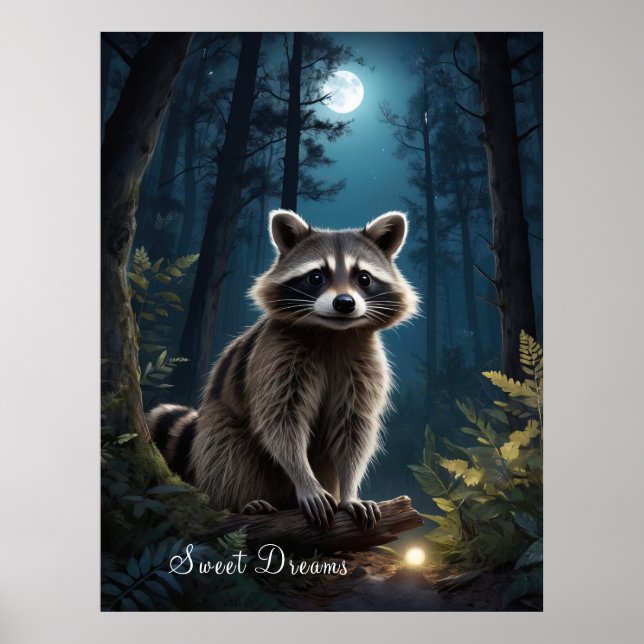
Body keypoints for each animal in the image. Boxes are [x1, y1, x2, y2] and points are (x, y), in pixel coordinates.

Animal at [146, 210, 418, 530]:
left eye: (363, 278)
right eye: (316, 277)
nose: (344, 303)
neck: (332, 333)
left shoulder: (365, 364)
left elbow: (353, 428)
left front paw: (350, 490)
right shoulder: (275, 354)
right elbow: (281, 422)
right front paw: (305, 479)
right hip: (218, 425)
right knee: (226, 448)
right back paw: (240, 502)